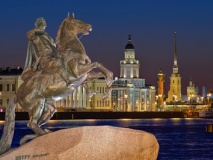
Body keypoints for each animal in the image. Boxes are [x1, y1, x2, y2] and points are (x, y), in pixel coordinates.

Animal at [0, 12, 113, 154]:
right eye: (76, 21)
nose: (89, 26)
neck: (71, 50)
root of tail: (16, 93)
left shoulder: (85, 76)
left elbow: (102, 71)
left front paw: (107, 88)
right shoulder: (78, 72)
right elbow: (98, 63)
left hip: (49, 109)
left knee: (34, 124)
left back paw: (38, 135)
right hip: (38, 104)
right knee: (31, 123)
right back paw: (42, 135)